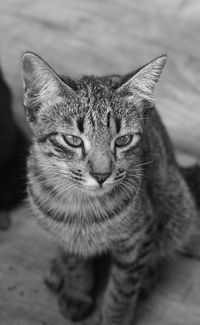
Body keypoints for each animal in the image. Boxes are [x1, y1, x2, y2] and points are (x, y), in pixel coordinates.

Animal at [21, 52, 198, 322]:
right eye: (72, 140)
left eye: (123, 140)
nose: (101, 175)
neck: (82, 206)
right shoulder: (67, 234)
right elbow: (74, 260)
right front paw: (76, 290)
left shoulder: (139, 237)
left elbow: (122, 291)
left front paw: (115, 317)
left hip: (177, 207)